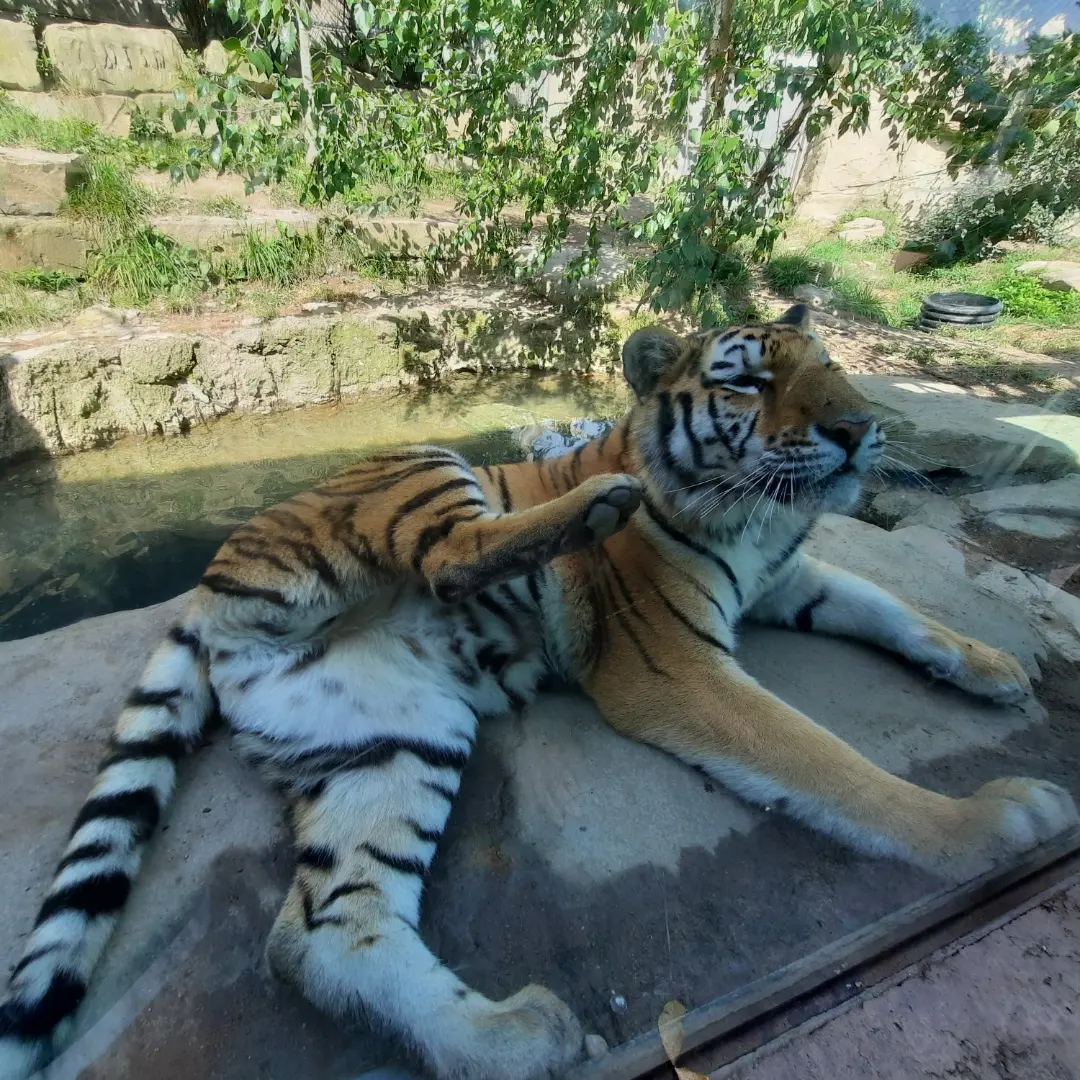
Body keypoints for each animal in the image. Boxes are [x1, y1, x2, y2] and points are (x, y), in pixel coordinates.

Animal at [1, 303, 1076, 1080]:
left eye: (832, 366)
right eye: (748, 380)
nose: (860, 430)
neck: (760, 524)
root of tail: (206, 584)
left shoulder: (792, 580)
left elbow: (895, 607)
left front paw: (992, 664)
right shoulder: (676, 668)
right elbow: (829, 762)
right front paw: (990, 826)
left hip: (395, 737)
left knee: (323, 934)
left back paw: (519, 1042)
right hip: (423, 463)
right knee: (449, 555)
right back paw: (594, 507)